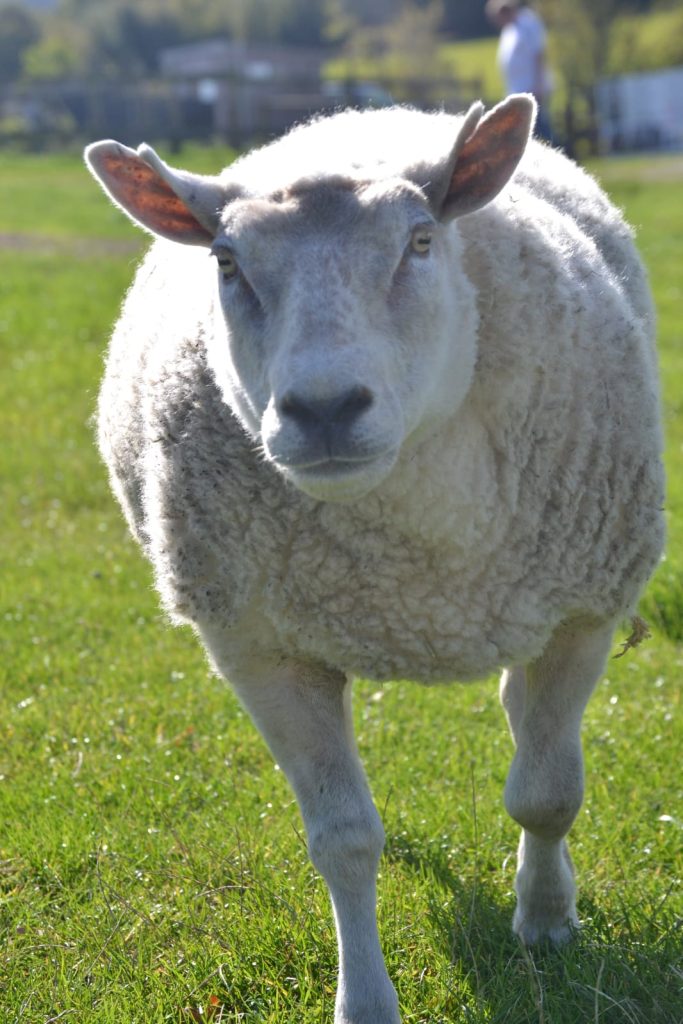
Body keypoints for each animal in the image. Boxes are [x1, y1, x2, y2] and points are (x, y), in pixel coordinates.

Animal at [85, 95, 665, 1024]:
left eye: (419, 241)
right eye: (226, 261)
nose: (323, 408)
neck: (421, 562)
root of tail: (359, 111)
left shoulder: (584, 611)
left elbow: (547, 793)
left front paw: (544, 923)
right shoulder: (260, 648)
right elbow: (344, 840)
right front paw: (364, 998)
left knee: (523, 719)